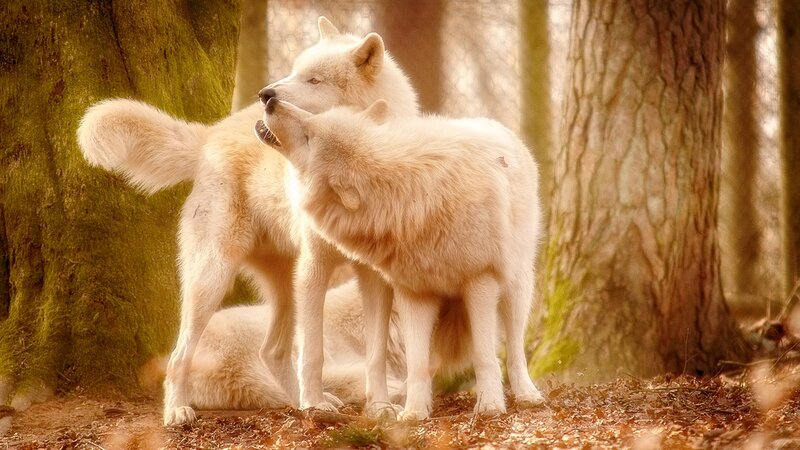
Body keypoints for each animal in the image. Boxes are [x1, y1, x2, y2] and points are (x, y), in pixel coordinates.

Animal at [77, 17, 418, 425]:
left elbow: (375, 354)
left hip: (285, 285)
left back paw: (298, 403)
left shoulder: (375, 277)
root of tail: (212, 134)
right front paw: (317, 405)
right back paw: (178, 411)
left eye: (314, 80)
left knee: (272, 351)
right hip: (215, 279)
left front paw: (380, 407)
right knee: (180, 355)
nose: (266, 95)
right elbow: (314, 352)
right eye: (295, 71)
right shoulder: (316, 267)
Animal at [262, 99, 546, 420]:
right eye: (314, 122)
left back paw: (527, 395)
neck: (412, 196)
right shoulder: (414, 294)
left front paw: (489, 406)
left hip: (515, 289)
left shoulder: (480, 282)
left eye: (309, 137)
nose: (271, 101)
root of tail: (498, 126)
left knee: (515, 350)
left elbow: (485, 355)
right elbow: (417, 362)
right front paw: (414, 413)